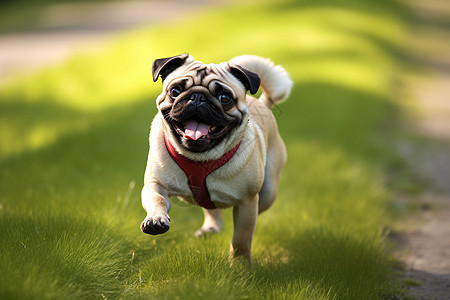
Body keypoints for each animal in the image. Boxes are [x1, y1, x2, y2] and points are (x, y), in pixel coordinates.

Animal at [142, 54, 294, 262]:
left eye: (224, 98)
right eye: (175, 91)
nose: (198, 97)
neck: (200, 158)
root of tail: (263, 103)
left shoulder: (247, 203)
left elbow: (241, 240)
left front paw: (239, 265)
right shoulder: (155, 184)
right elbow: (156, 199)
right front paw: (156, 219)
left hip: (267, 191)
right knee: (210, 208)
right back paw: (211, 228)